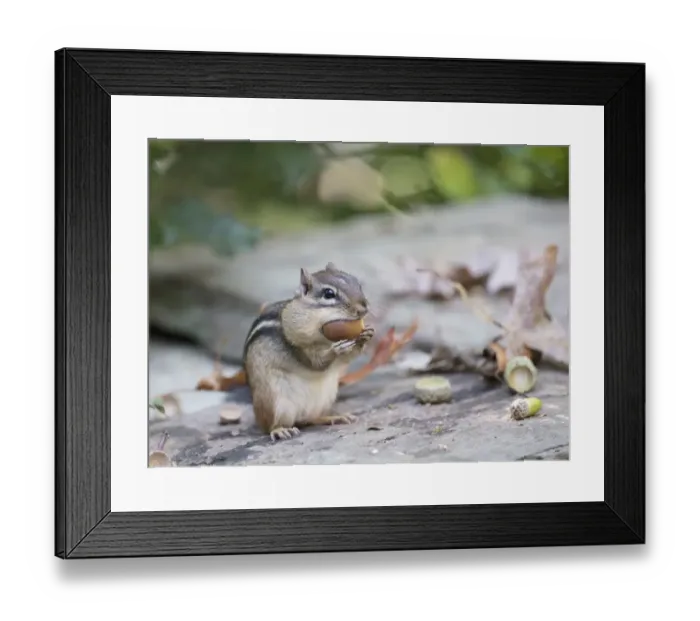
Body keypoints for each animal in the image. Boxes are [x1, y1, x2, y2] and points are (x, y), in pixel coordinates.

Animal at [243, 262, 375, 442]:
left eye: (357, 283)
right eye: (328, 294)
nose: (363, 309)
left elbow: (347, 358)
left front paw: (366, 335)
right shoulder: (297, 346)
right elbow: (315, 363)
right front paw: (336, 349)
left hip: (326, 398)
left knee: (311, 419)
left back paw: (333, 417)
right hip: (275, 401)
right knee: (271, 426)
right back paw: (280, 430)